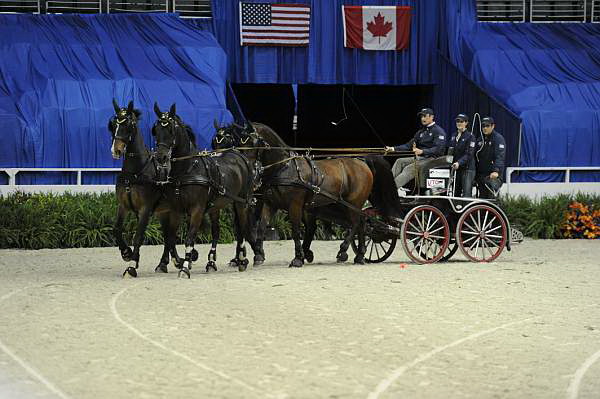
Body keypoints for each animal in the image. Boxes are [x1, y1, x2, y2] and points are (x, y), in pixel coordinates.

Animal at [109, 99, 180, 278]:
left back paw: (175, 260)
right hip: (163, 211)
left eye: (128, 125)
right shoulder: (123, 206)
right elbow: (117, 229)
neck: (135, 172)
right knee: (167, 235)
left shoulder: (145, 209)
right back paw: (165, 263)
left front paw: (132, 265)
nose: (116, 150)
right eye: (113, 125)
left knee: (172, 234)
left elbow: (138, 235)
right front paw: (126, 253)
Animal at [152, 103, 260, 278]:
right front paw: (177, 261)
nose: (160, 157)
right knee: (217, 231)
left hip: (241, 202)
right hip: (217, 206)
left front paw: (185, 267)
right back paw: (211, 262)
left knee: (242, 227)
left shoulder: (197, 209)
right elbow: (170, 237)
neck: (187, 169)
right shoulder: (175, 209)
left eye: (171, 130)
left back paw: (242, 260)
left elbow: (189, 238)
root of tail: (239, 155)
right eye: (156, 130)